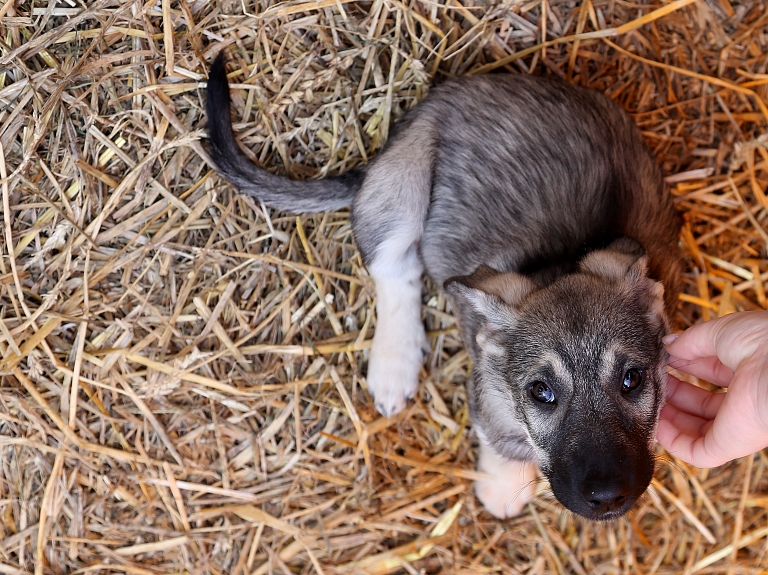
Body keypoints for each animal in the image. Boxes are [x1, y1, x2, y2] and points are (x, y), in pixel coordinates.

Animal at [207, 55, 680, 520]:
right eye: (541, 392)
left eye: (632, 379)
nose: (608, 497)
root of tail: (437, 99)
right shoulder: (488, 403)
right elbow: (502, 446)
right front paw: (501, 488)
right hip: (401, 188)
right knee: (394, 269)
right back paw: (394, 365)